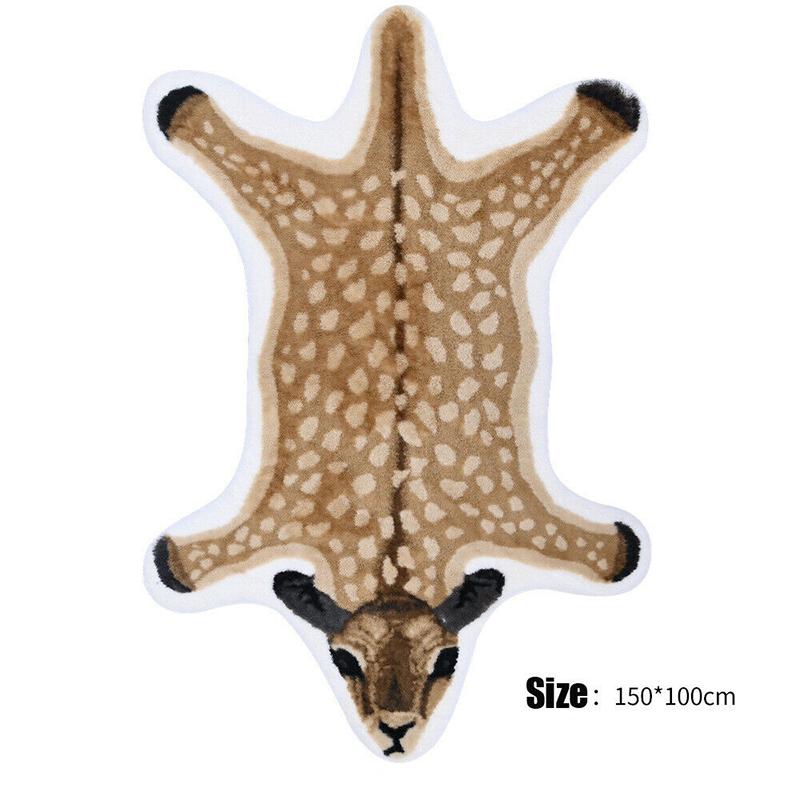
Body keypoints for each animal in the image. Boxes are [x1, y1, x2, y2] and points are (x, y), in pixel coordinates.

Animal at [145, 7, 648, 758]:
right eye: (342, 659)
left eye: (447, 659)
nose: (395, 733)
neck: (394, 543)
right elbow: (189, 565)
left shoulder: (515, 509)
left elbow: (607, 554)